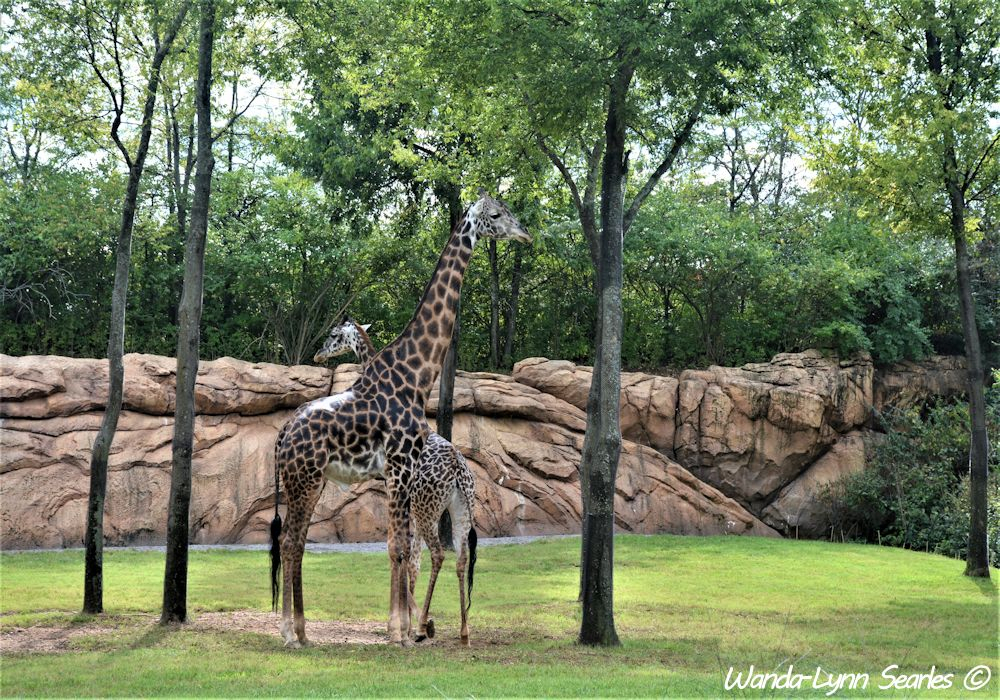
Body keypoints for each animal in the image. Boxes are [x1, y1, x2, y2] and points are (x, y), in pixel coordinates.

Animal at [316, 320, 480, 644]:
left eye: (333, 334)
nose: (318, 354)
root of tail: (457, 468)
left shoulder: (398, 491)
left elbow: (403, 553)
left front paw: (413, 623)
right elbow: (411, 558)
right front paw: (410, 621)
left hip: (427, 509)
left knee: (439, 554)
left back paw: (423, 626)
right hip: (459, 509)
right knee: (460, 558)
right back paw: (463, 632)